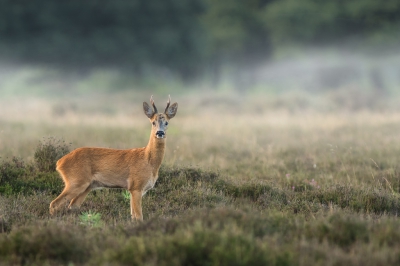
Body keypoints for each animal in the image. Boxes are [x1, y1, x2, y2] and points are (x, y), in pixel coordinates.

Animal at [49, 95, 177, 220]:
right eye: (153, 122)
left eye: (167, 122)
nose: (159, 133)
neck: (149, 161)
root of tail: (59, 162)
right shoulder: (136, 186)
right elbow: (139, 217)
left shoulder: (133, 190)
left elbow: (133, 216)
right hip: (76, 182)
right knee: (54, 203)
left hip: (88, 186)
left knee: (73, 206)